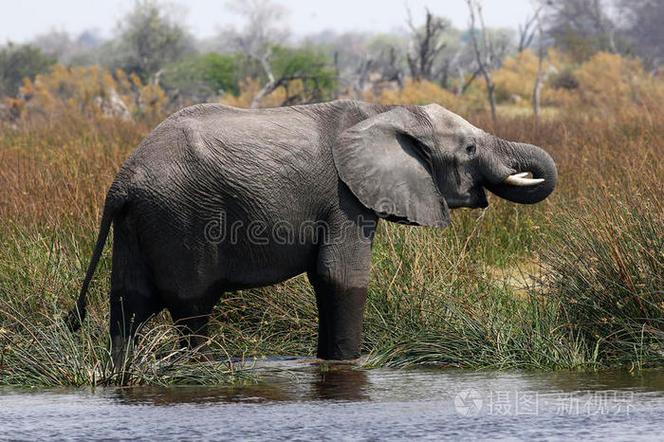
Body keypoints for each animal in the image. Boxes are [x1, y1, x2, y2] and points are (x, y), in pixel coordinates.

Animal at [67, 100, 557, 361]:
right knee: (191, 307)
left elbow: (327, 281)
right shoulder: (343, 199)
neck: (386, 112)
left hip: (138, 222)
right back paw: (198, 370)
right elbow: (342, 278)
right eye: (470, 148)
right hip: (180, 219)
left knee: (127, 303)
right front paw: (349, 365)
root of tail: (121, 182)